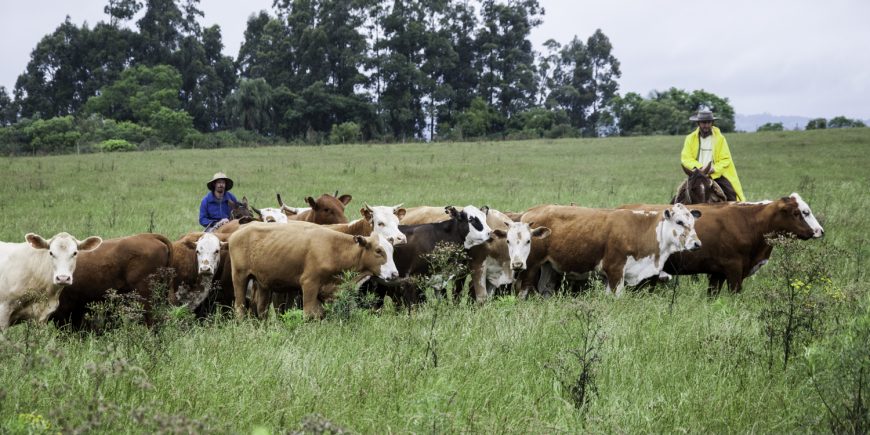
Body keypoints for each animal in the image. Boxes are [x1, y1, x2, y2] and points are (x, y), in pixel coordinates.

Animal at [228, 223, 398, 318]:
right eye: (378, 251)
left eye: (392, 251)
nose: (395, 274)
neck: (334, 249)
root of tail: (237, 232)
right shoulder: (309, 284)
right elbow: (309, 314)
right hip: (240, 277)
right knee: (240, 307)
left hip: (263, 283)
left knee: (262, 310)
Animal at [520, 204, 704, 296]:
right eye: (679, 222)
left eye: (693, 223)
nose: (697, 244)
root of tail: (529, 212)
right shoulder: (615, 270)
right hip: (530, 266)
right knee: (524, 289)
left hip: (548, 266)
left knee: (545, 287)